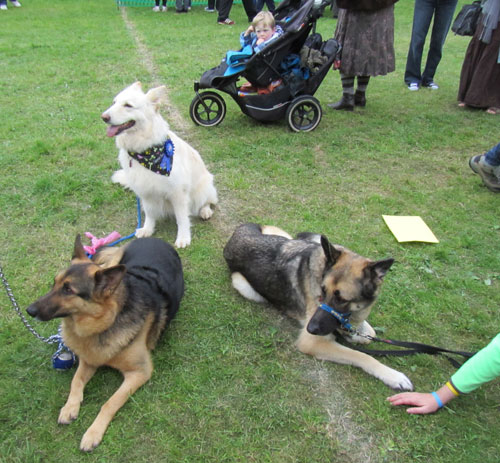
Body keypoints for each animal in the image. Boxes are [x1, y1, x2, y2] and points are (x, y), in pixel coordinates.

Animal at [26, 237, 184, 452]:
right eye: (54, 282)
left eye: (68, 290)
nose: (29, 310)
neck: (108, 320)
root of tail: (157, 239)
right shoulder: (90, 359)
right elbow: (76, 380)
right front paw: (70, 407)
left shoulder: (140, 372)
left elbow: (110, 402)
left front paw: (93, 433)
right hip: (115, 264)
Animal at [101, 82, 217, 250]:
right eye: (114, 102)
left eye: (128, 105)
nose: (104, 117)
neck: (144, 152)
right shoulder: (145, 192)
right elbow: (150, 214)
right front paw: (147, 229)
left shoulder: (178, 193)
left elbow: (182, 218)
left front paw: (183, 237)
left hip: (203, 188)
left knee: (208, 201)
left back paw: (205, 211)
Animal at [225, 224, 412, 392]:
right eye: (322, 291)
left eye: (342, 299)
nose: (310, 328)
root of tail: (239, 231)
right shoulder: (312, 342)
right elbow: (360, 355)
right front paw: (393, 376)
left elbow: (368, 334)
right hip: (244, 286)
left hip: (285, 236)